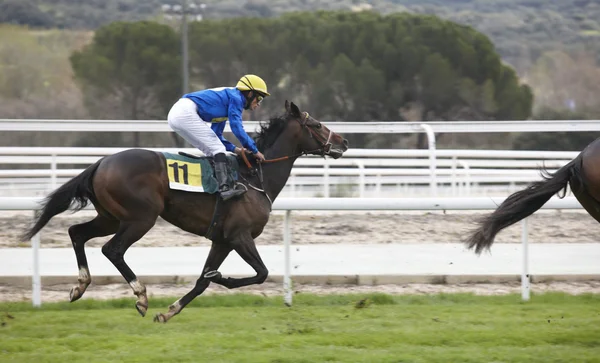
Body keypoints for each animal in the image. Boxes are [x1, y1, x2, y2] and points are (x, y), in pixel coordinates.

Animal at [23, 100, 350, 324]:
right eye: (316, 125)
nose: (344, 142)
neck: (255, 177)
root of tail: (101, 162)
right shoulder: (240, 235)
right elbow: (261, 273)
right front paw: (223, 279)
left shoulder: (222, 239)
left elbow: (203, 280)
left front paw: (170, 311)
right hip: (141, 217)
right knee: (112, 249)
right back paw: (140, 296)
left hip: (111, 217)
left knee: (76, 233)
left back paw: (80, 286)